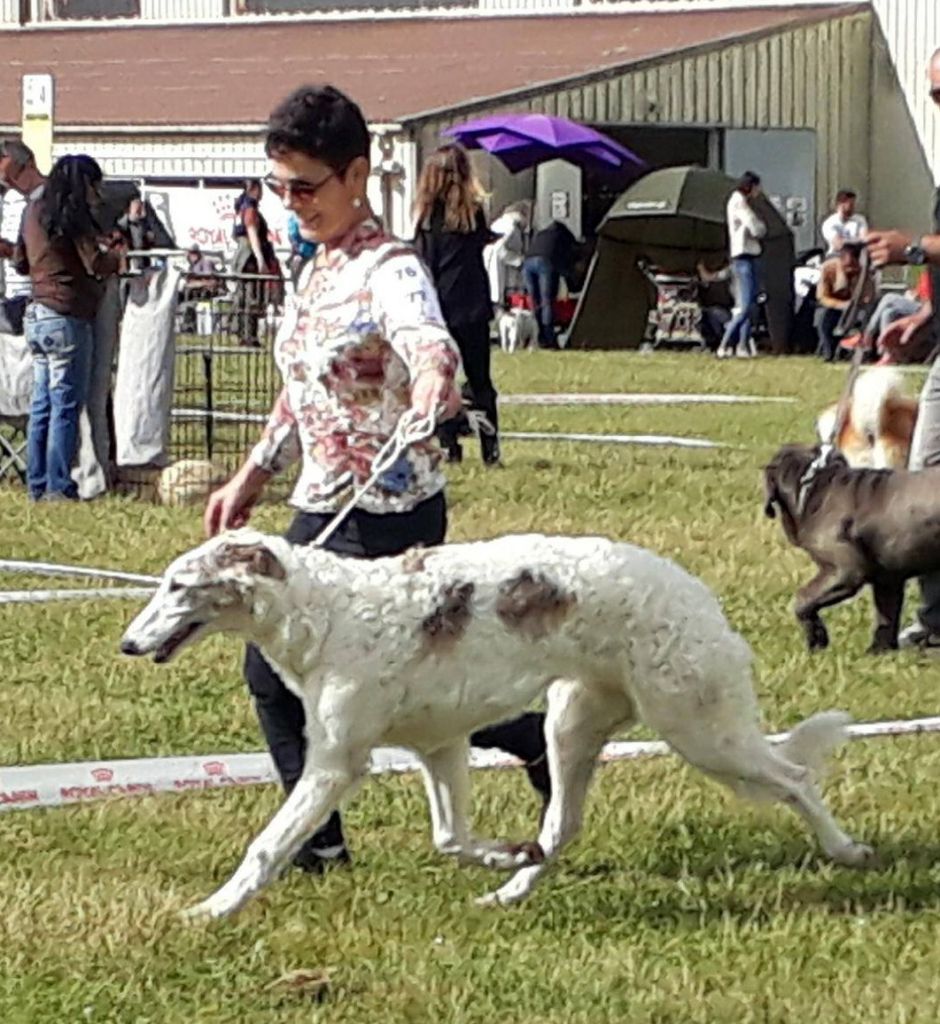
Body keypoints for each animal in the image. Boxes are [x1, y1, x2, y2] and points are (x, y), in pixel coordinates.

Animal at [119, 528, 876, 921]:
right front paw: (504, 855)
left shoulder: (337, 762)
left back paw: (846, 850)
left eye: (179, 585)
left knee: (795, 775)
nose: (127, 644)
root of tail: (694, 592)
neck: (326, 611)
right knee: (561, 826)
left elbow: (265, 847)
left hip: (699, 730)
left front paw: (210, 911)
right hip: (572, 727)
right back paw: (512, 886)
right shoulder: (441, 746)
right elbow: (451, 837)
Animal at [761, 444, 940, 651]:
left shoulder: (845, 572)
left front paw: (817, 639)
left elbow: (802, 599)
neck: (811, 488)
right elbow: (886, 617)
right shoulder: (887, 580)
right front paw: (878, 651)